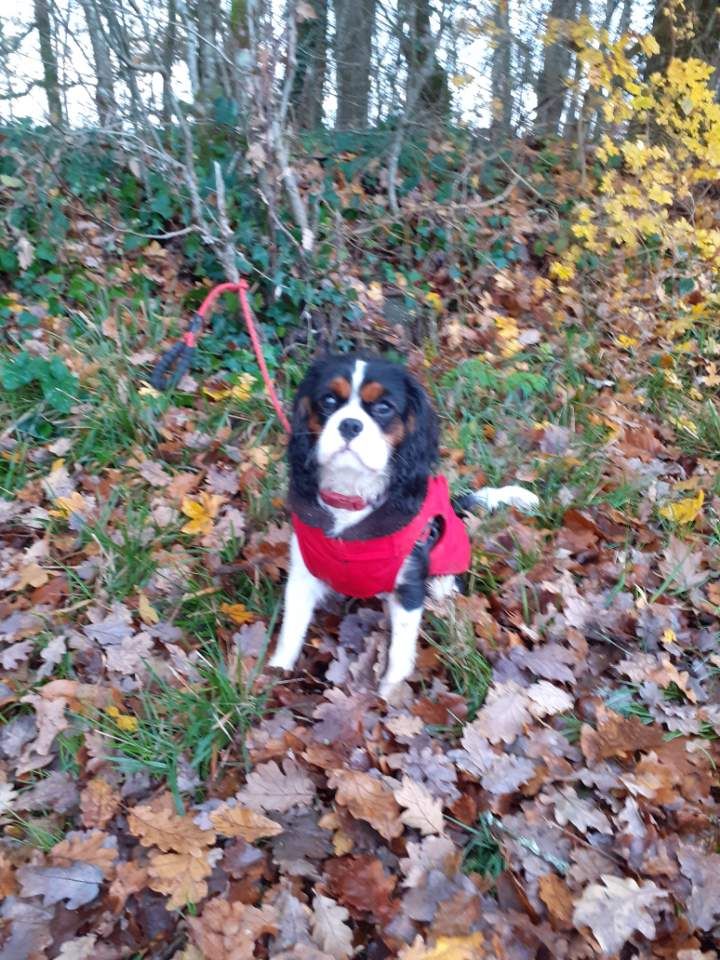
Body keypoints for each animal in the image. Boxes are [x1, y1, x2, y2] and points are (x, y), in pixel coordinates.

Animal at [268, 352, 536, 696]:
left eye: (384, 407)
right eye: (328, 400)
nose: (350, 424)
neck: (352, 498)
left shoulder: (410, 585)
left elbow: (399, 651)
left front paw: (388, 696)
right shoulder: (303, 574)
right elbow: (291, 630)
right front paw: (274, 675)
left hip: (443, 580)